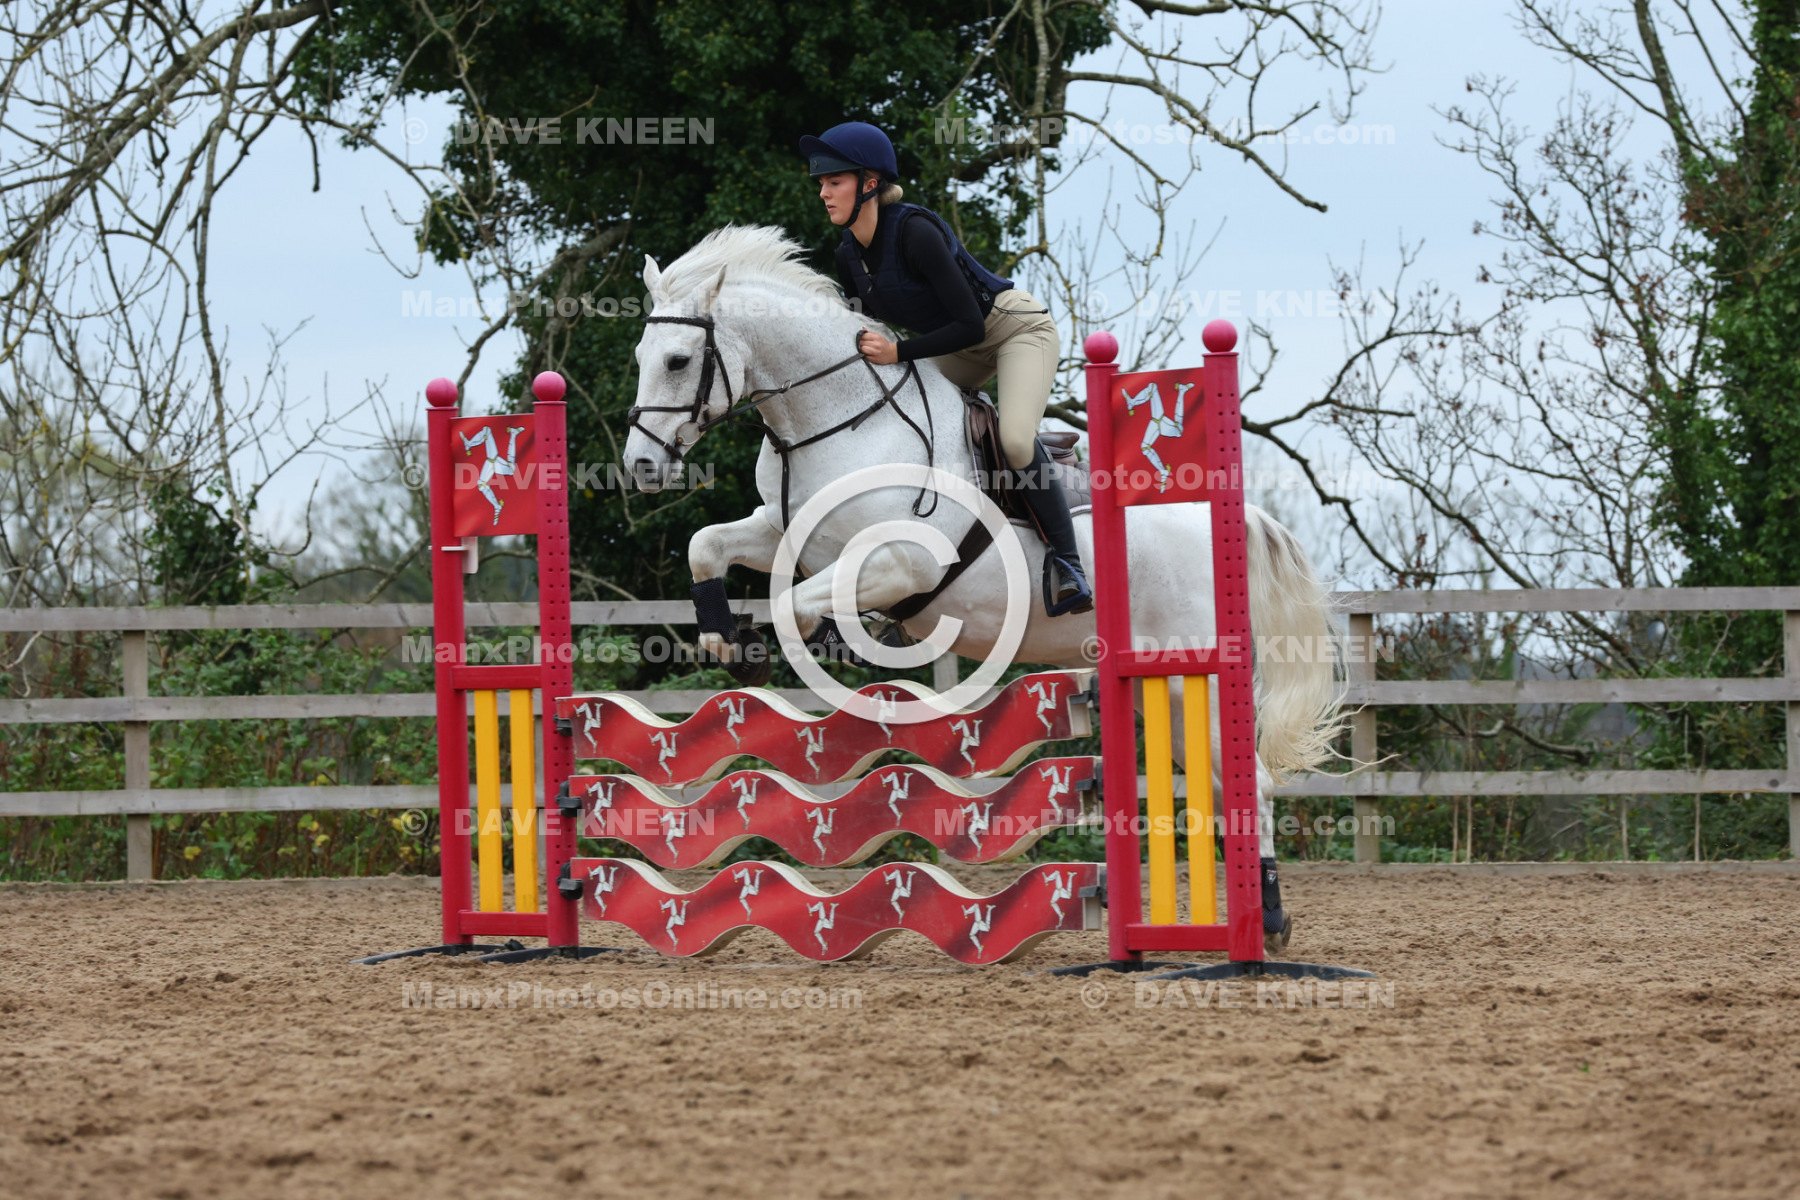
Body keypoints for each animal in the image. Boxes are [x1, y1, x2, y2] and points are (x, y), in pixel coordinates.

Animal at [620, 225, 1342, 943]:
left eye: (679, 361)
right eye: (640, 356)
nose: (641, 467)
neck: (844, 420)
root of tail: (1225, 520)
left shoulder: (899, 563)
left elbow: (792, 605)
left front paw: (805, 643)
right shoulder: (781, 529)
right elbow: (706, 547)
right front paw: (726, 642)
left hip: (1188, 676)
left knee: (1251, 785)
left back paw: (1266, 919)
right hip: (1155, 687)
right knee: (1223, 785)